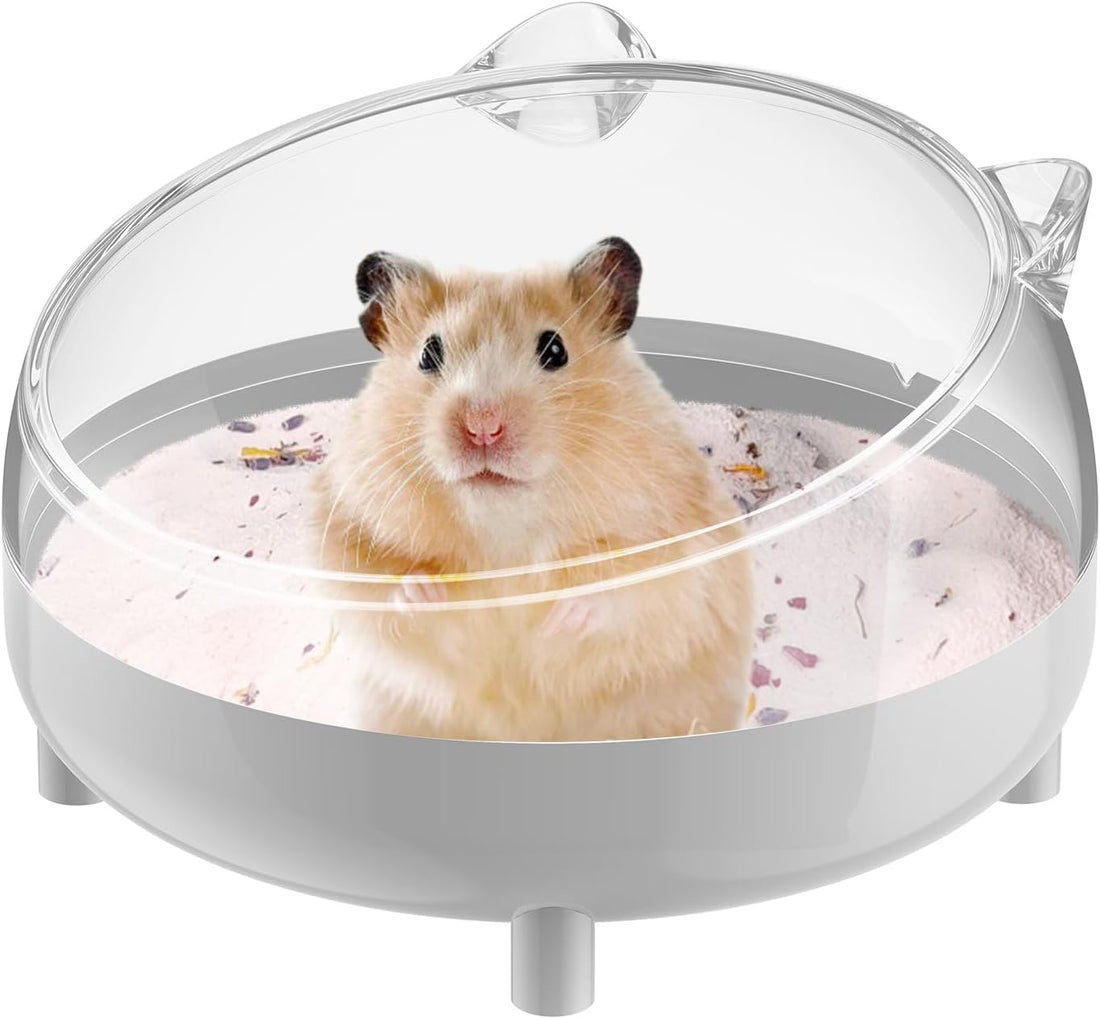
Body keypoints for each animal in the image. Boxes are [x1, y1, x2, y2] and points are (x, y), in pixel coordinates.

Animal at [314, 237, 754, 741]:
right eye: (428, 353)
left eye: (555, 349)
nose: (482, 427)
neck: (505, 530)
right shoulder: (343, 529)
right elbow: (374, 589)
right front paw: (426, 593)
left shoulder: (682, 549)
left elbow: (636, 589)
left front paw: (560, 616)